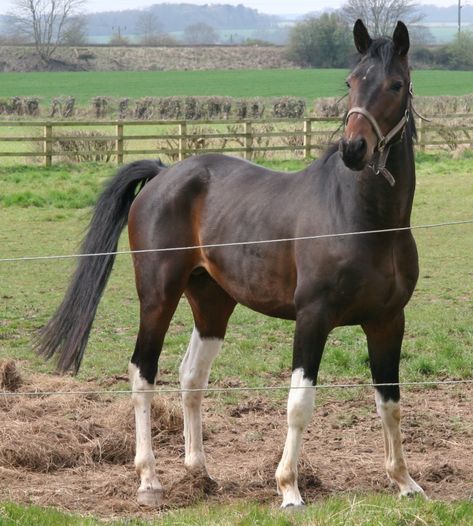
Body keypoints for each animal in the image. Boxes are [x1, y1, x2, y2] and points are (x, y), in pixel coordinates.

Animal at [37, 19, 424, 508]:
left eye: (395, 85)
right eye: (351, 81)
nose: (354, 148)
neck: (366, 221)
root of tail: (163, 174)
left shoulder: (388, 321)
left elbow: (390, 402)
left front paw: (404, 481)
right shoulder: (313, 318)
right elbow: (300, 404)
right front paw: (289, 488)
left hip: (211, 303)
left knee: (191, 376)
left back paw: (199, 472)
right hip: (158, 297)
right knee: (143, 373)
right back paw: (149, 480)